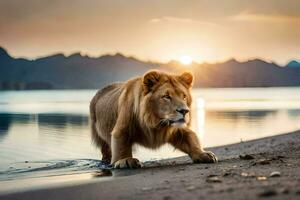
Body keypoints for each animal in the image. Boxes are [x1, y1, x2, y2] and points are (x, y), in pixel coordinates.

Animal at [89, 71, 218, 168]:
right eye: (166, 97)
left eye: (184, 96)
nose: (184, 111)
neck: (156, 123)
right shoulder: (123, 126)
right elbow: (121, 143)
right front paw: (125, 160)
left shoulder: (176, 129)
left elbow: (191, 138)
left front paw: (204, 154)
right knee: (106, 151)